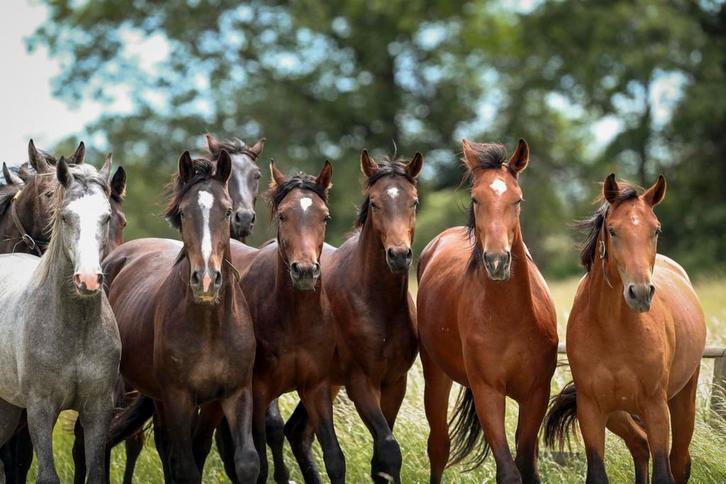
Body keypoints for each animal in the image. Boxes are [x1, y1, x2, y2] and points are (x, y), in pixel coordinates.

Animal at [0, 145, 126, 484]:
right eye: (66, 216)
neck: (74, 329)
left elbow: (95, 472)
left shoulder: (97, 409)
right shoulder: (40, 409)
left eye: (107, 217)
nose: (89, 280)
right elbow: (46, 475)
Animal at [100, 150, 259, 483]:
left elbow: (246, 461)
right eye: (184, 213)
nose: (207, 280)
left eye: (227, 212)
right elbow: (185, 466)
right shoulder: (178, 398)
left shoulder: (234, 393)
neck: (210, 327)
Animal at [283, 150, 423, 484]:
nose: (399, 255)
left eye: (414, 201)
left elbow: (382, 458)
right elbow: (388, 448)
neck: (378, 304)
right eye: (374, 203)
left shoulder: (394, 382)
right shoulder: (360, 382)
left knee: (296, 432)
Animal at [416, 139, 558, 483]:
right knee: (438, 446)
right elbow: (508, 471)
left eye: (517, 200)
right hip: (436, 374)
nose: (496, 261)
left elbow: (528, 466)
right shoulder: (488, 392)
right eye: (475, 198)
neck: (511, 317)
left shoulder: (536, 393)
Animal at [544, 174, 706, 484]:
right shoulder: (592, 410)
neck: (613, 330)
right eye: (613, 230)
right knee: (640, 446)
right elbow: (597, 472)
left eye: (656, 229)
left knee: (678, 461)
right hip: (618, 414)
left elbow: (663, 472)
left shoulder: (656, 408)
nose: (640, 293)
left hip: (682, 401)